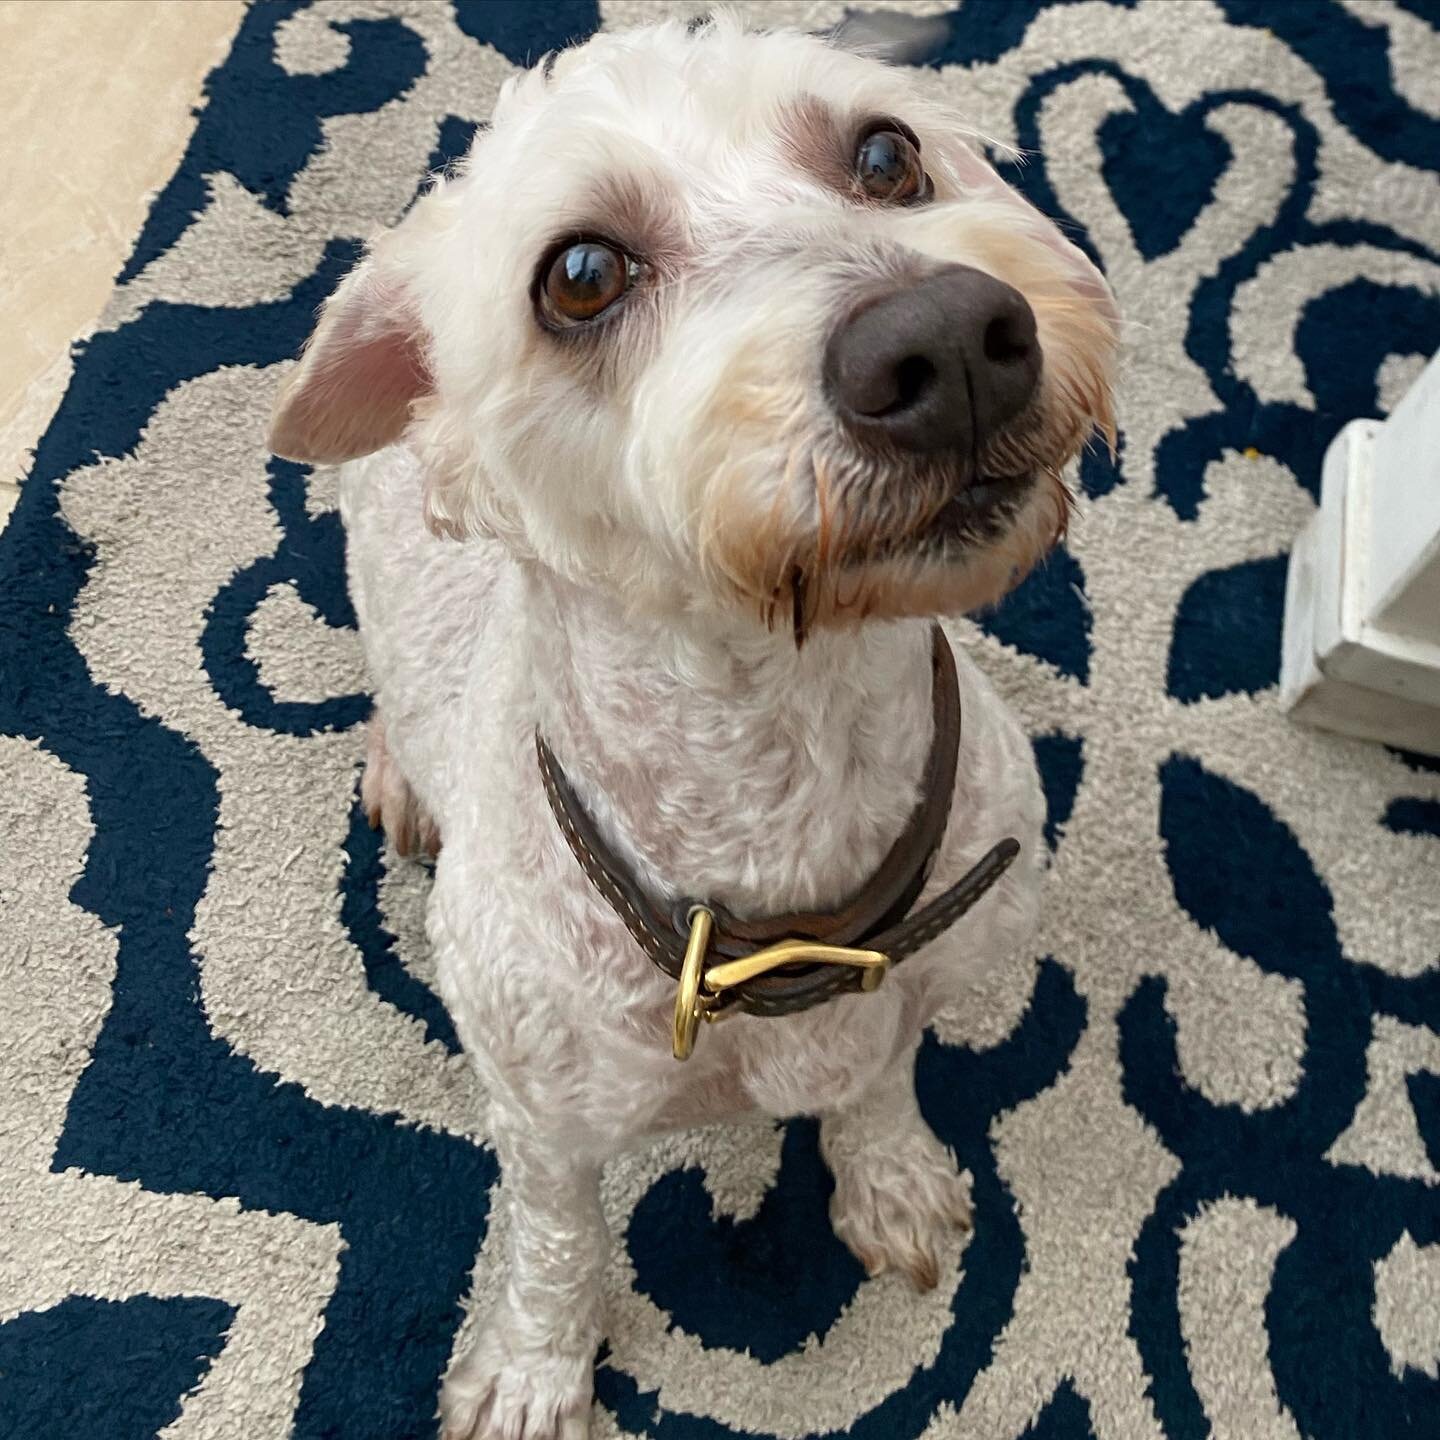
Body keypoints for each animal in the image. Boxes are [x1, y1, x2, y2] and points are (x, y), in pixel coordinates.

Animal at [272, 14, 1123, 1440]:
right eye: (579, 275)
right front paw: (534, 1373)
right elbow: (555, 1241)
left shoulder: (920, 979)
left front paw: (890, 1178)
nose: (948, 339)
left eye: (885, 154)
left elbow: (881, 1076)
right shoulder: (540, 1121)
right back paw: (401, 775)